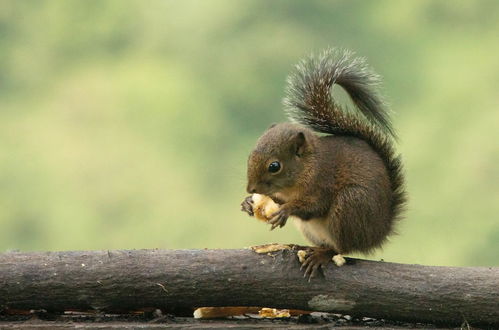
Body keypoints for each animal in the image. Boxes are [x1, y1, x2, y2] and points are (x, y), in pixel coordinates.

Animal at [241, 47, 406, 278]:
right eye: (250, 155)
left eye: (275, 166)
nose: (251, 188)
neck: (307, 167)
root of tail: (379, 232)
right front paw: (249, 202)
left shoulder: (323, 182)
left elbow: (314, 206)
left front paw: (286, 210)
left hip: (350, 205)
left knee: (342, 247)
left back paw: (323, 254)